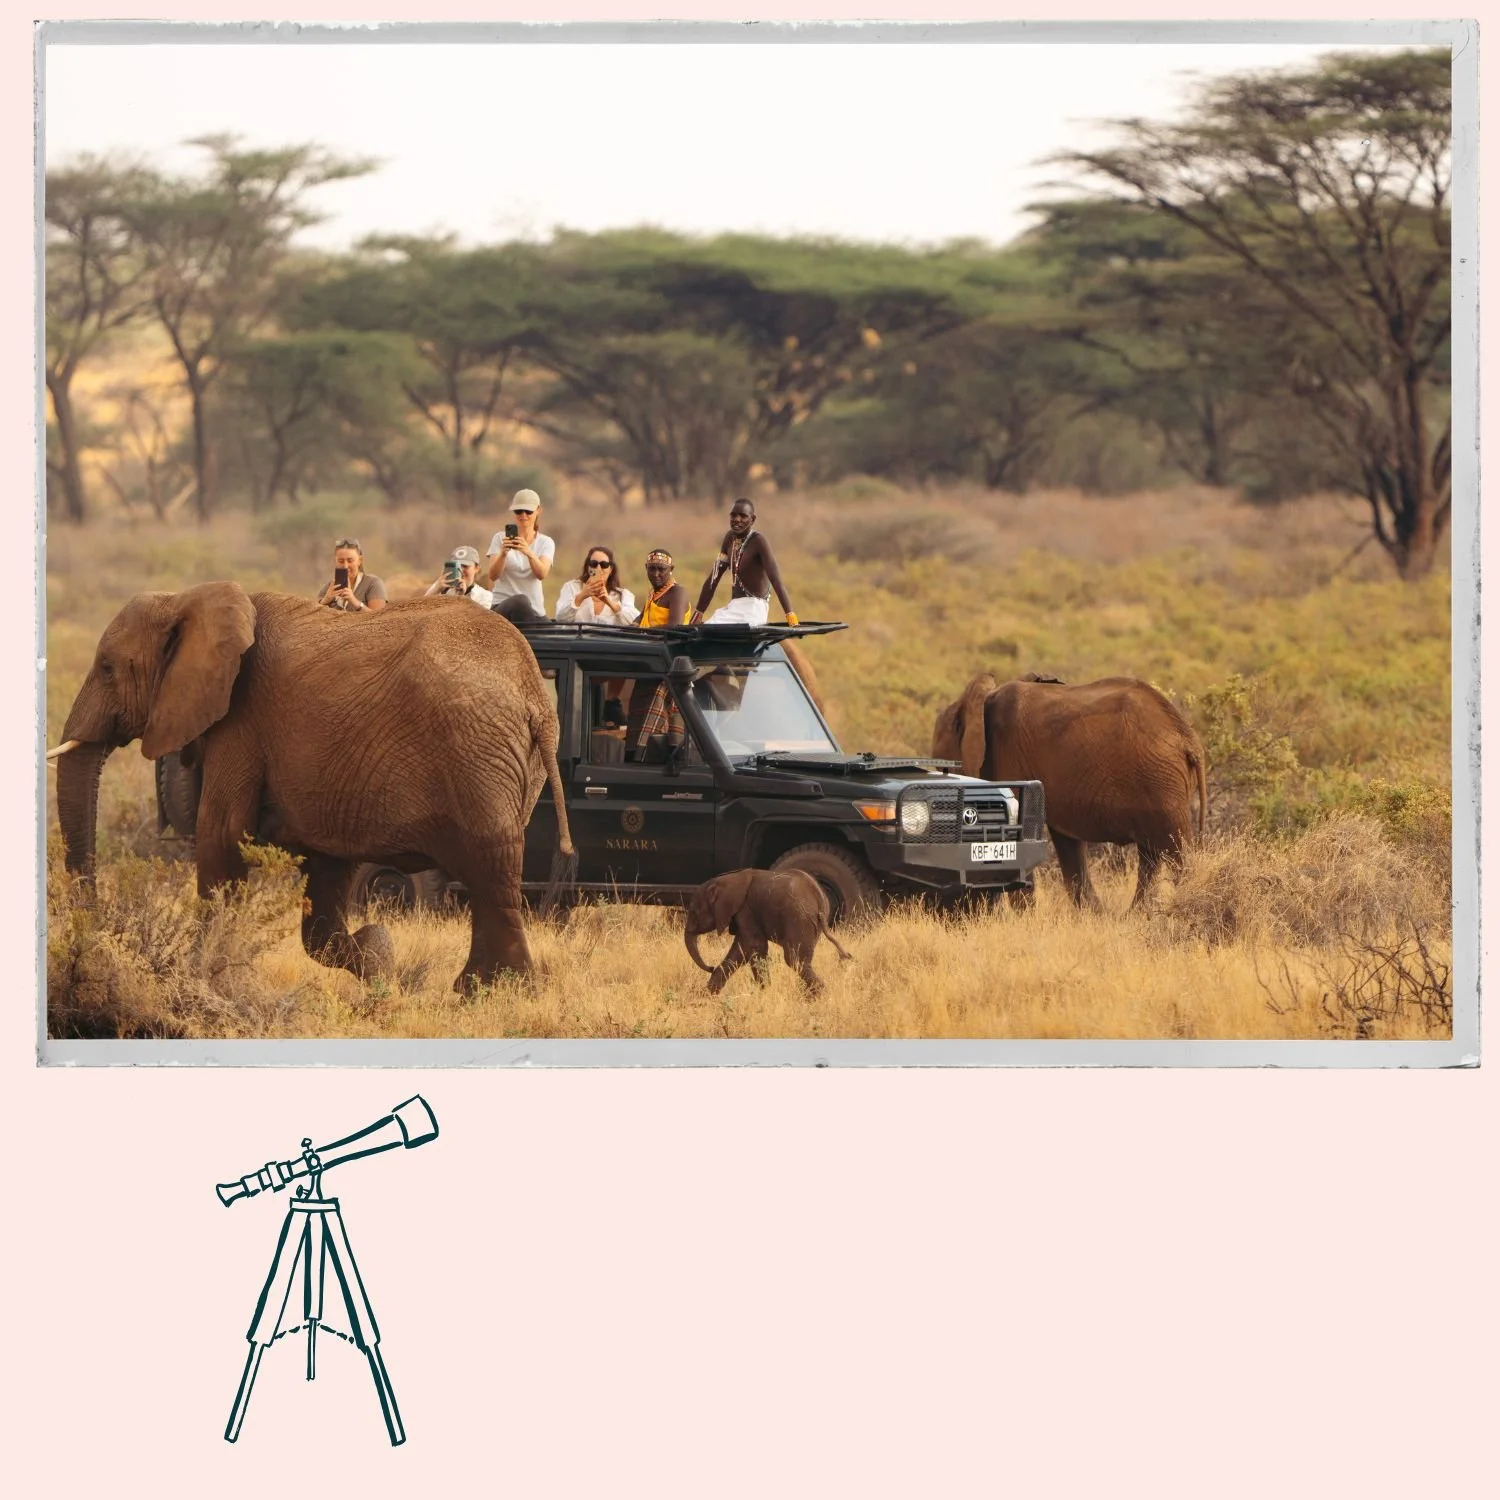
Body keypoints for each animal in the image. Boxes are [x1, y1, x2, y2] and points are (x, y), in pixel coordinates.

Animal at [48, 583, 575, 991]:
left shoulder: (241, 723)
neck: (187, 599)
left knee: (490, 870)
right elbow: (325, 870)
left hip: (477, 756)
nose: (95, 923)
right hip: (508, 765)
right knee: (490, 875)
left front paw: (201, 979)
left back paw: (500, 992)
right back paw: (473, 990)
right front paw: (379, 957)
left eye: (108, 668)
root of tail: (534, 696)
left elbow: (222, 837)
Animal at [684, 867, 854, 995]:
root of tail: (818, 897)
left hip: (799, 917)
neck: (726, 879)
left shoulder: (746, 911)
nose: (710, 967)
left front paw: (764, 992)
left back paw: (819, 995)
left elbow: (753, 947)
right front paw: (707, 994)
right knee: (801, 961)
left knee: (794, 960)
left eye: (693, 912)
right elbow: (740, 951)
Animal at [932, 672, 1207, 910]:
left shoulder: (1008, 761)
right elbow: (1068, 845)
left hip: (1161, 783)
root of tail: (1190, 739)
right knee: (1150, 855)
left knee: (1175, 851)